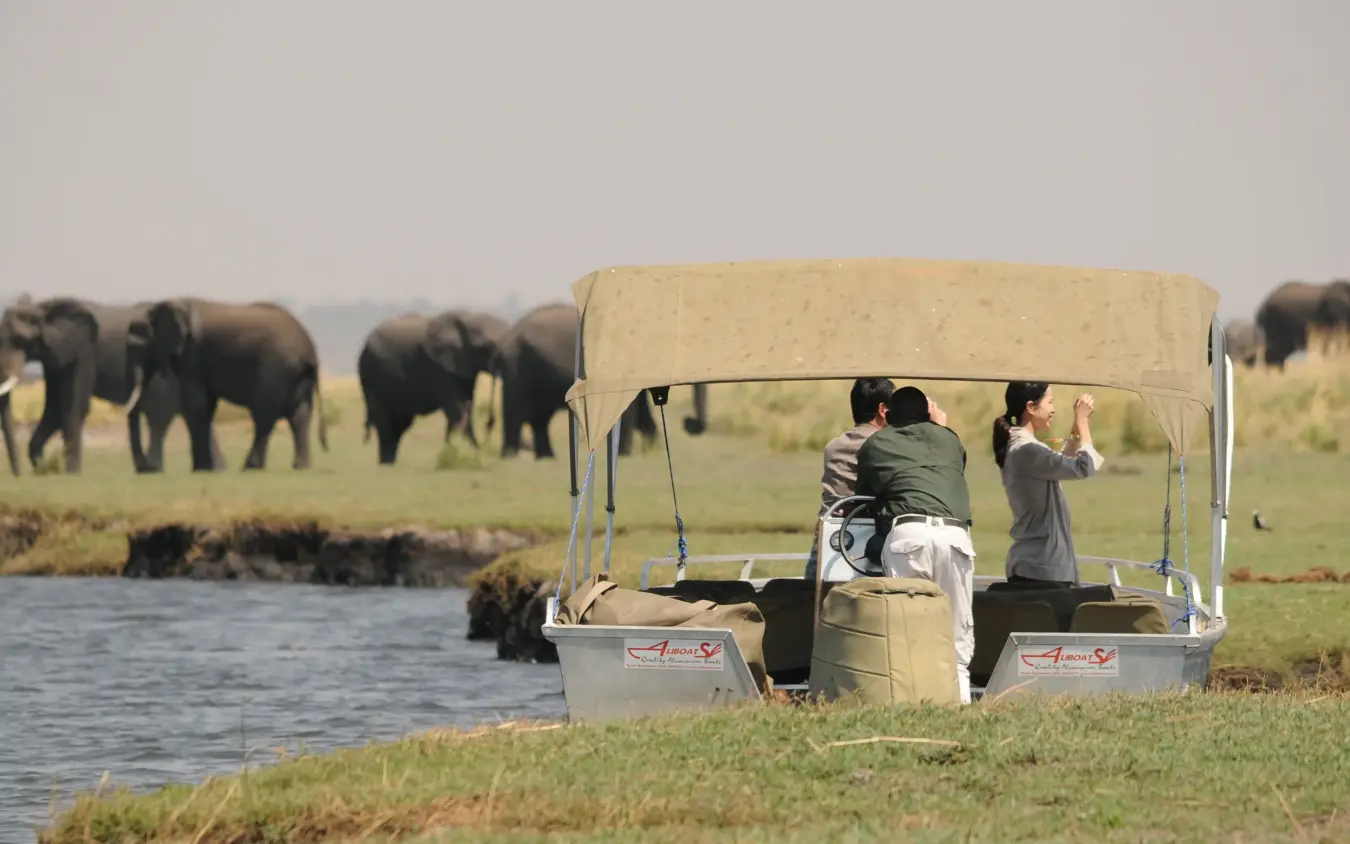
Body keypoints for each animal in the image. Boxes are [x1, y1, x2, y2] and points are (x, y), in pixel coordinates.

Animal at [0, 295, 218, 476]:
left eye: (19, 340)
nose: (18, 475)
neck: (41, 308)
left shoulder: (84, 351)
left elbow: (74, 406)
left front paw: (72, 473)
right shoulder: (55, 358)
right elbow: (53, 409)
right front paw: (43, 467)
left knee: (159, 414)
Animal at [136, 298, 328, 471]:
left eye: (141, 340)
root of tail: (310, 352)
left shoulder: (192, 355)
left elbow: (195, 405)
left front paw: (203, 469)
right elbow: (206, 407)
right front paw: (207, 468)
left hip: (276, 370)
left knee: (264, 416)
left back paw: (250, 467)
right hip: (299, 376)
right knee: (300, 416)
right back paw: (300, 467)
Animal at [357, 309, 508, 464]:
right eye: (487, 347)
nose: (490, 422)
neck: (469, 317)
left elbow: (465, 407)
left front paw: (451, 451)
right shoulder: (440, 368)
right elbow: (457, 410)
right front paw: (477, 455)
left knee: (399, 425)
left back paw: (389, 463)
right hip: (369, 376)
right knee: (385, 424)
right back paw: (386, 464)